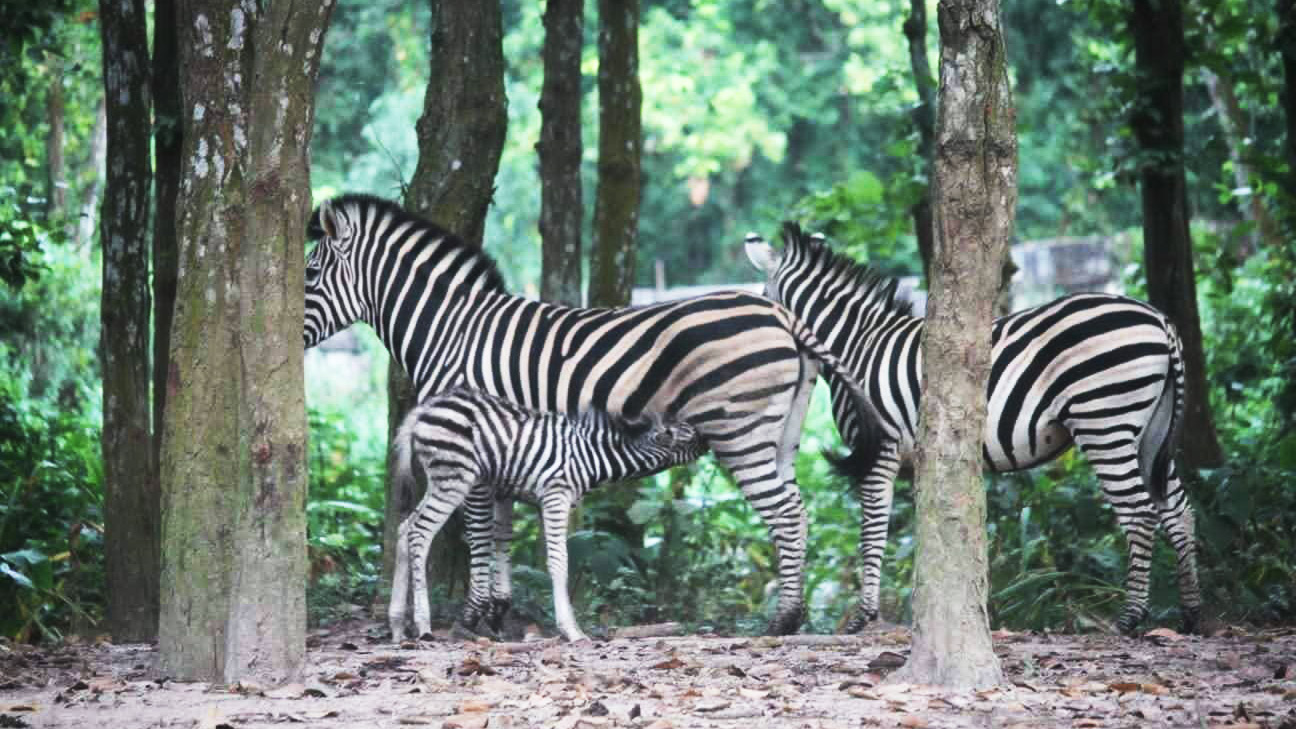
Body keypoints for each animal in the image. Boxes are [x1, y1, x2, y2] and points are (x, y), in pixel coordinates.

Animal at [386, 383, 705, 638]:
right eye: (690, 435)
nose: (711, 438)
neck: (592, 456)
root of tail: (424, 409)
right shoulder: (555, 496)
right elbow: (559, 561)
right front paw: (572, 631)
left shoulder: (548, 500)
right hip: (454, 479)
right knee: (419, 534)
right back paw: (423, 625)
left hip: (439, 480)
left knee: (404, 529)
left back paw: (397, 625)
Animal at [751, 223, 1202, 635]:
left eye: (764, 299)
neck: (859, 347)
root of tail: (1159, 319)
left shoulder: (881, 450)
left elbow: (872, 529)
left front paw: (864, 616)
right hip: (1149, 431)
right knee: (1178, 509)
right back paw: (1191, 614)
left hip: (1105, 421)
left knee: (1140, 512)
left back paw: (1129, 619)